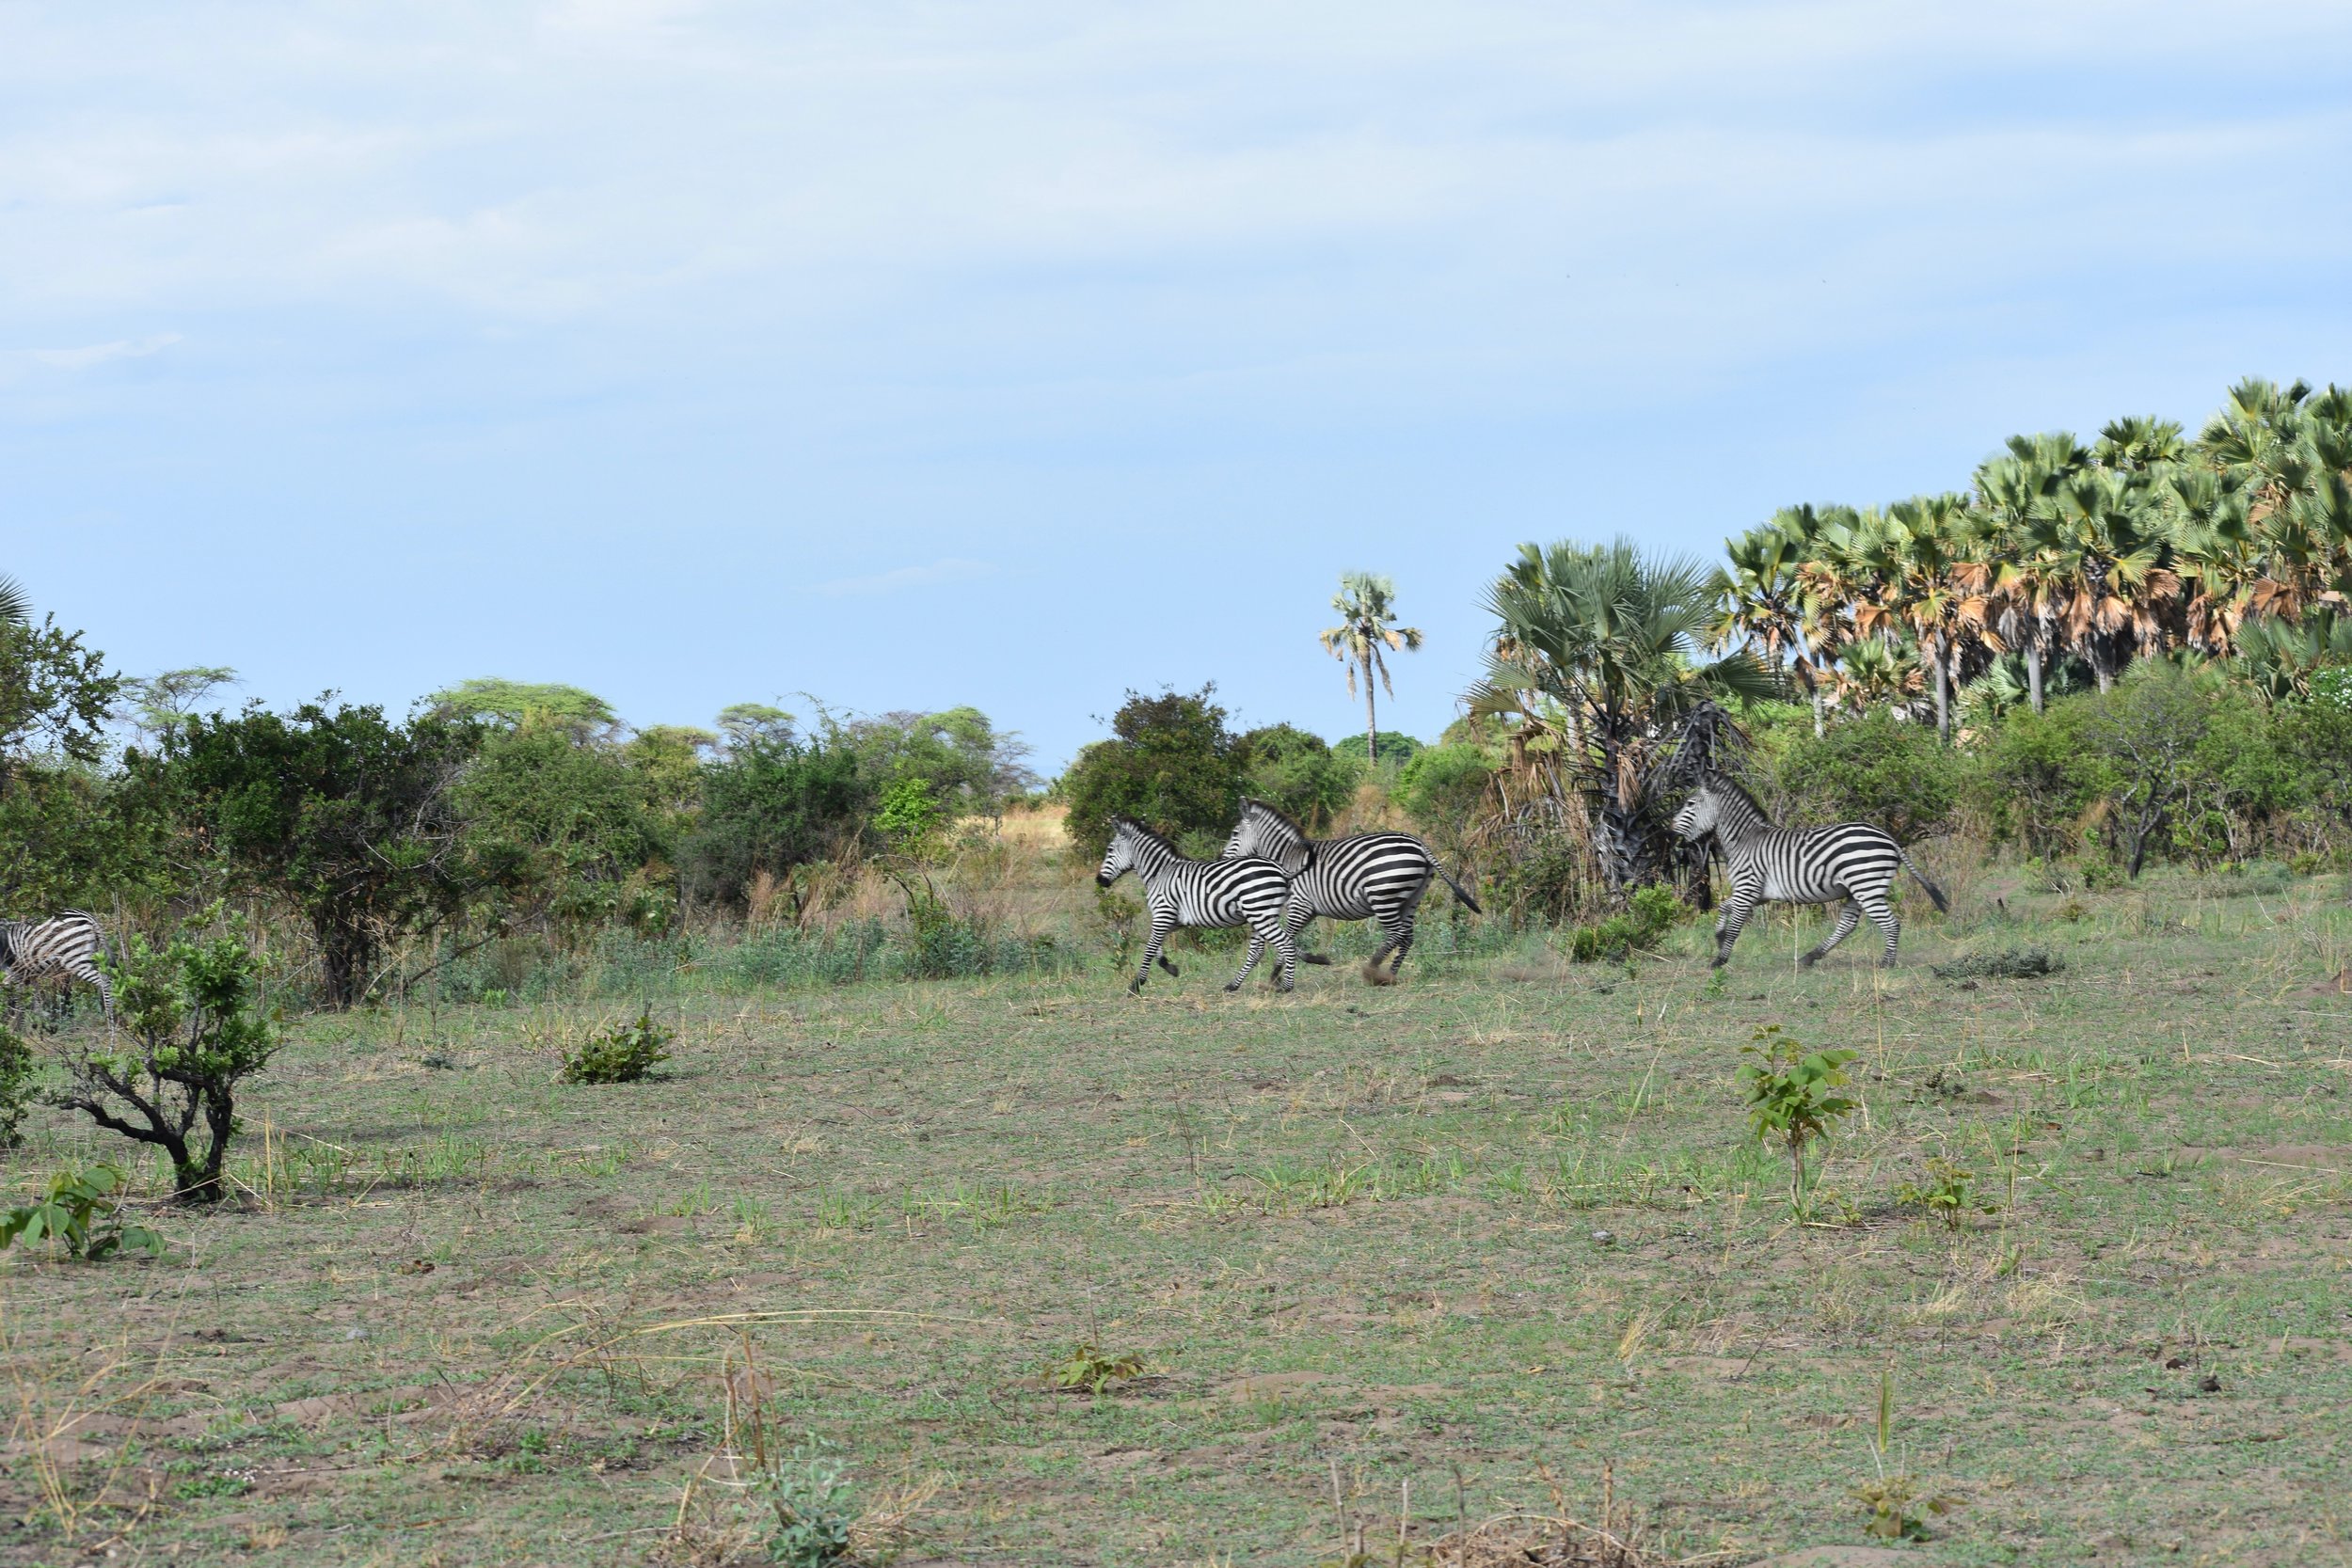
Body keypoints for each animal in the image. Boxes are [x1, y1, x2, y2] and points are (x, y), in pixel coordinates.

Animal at [1096, 816, 1300, 995]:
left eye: (1110, 850)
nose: (1099, 880)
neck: (1160, 873)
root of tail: (1279, 868)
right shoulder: (1173, 920)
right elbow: (1156, 947)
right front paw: (1170, 968)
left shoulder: (1163, 913)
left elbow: (1150, 948)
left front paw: (1137, 985)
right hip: (1260, 915)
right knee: (1257, 952)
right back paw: (1233, 985)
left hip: (1260, 914)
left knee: (1287, 943)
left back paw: (1287, 987)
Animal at [1218, 799, 1480, 980]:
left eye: (1234, 833)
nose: (1221, 859)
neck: (1288, 859)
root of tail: (1418, 843)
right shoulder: (1308, 910)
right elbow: (1289, 938)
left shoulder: (1300, 905)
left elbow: (1287, 938)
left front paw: (1274, 977)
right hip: (1411, 898)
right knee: (1407, 937)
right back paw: (1389, 976)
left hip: (1383, 895)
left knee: (1396, 934)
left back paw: (1372, 970)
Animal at [1671, 773, 1948, 969]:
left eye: (1690, 803)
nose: (1671, 830)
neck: (1745, 839)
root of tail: (1889, 838)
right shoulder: (1758, 894)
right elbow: (1724, 907)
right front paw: (1719, 938)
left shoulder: (1748, 888)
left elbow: (1736, 923)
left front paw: (1720, 959)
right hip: (1856, 889)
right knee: (1847, 924)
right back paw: (1811, 956)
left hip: (1866, 885)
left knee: (1890, 924)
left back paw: (1886, 964)